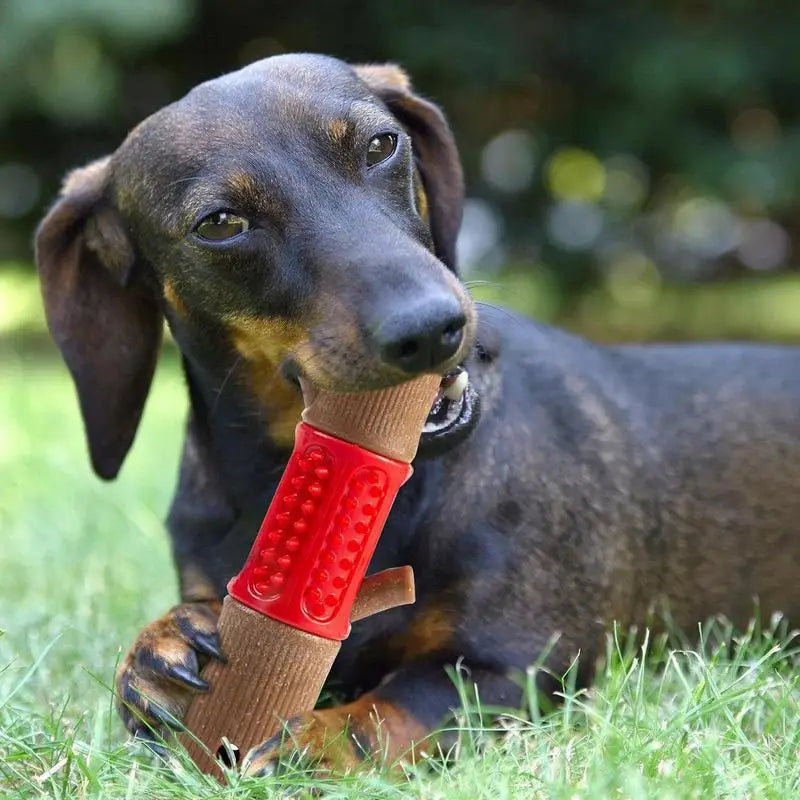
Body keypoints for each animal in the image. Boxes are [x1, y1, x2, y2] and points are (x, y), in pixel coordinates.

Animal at [36, 53, 800, 772]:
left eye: (381, 144)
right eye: (220, 223)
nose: (432, 328)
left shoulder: (520, 662)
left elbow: (402, 703)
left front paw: (319, 742)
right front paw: (158, 650)